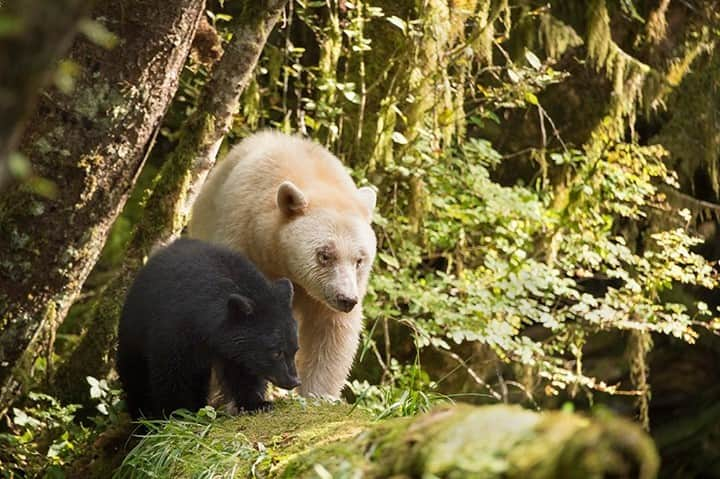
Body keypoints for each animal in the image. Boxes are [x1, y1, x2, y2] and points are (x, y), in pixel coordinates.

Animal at [191, 130, 376, 398]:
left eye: (359, 260)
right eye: (324, 255)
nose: (346, 299)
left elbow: (331, 332)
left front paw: (318, 395)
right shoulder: (241, 237)